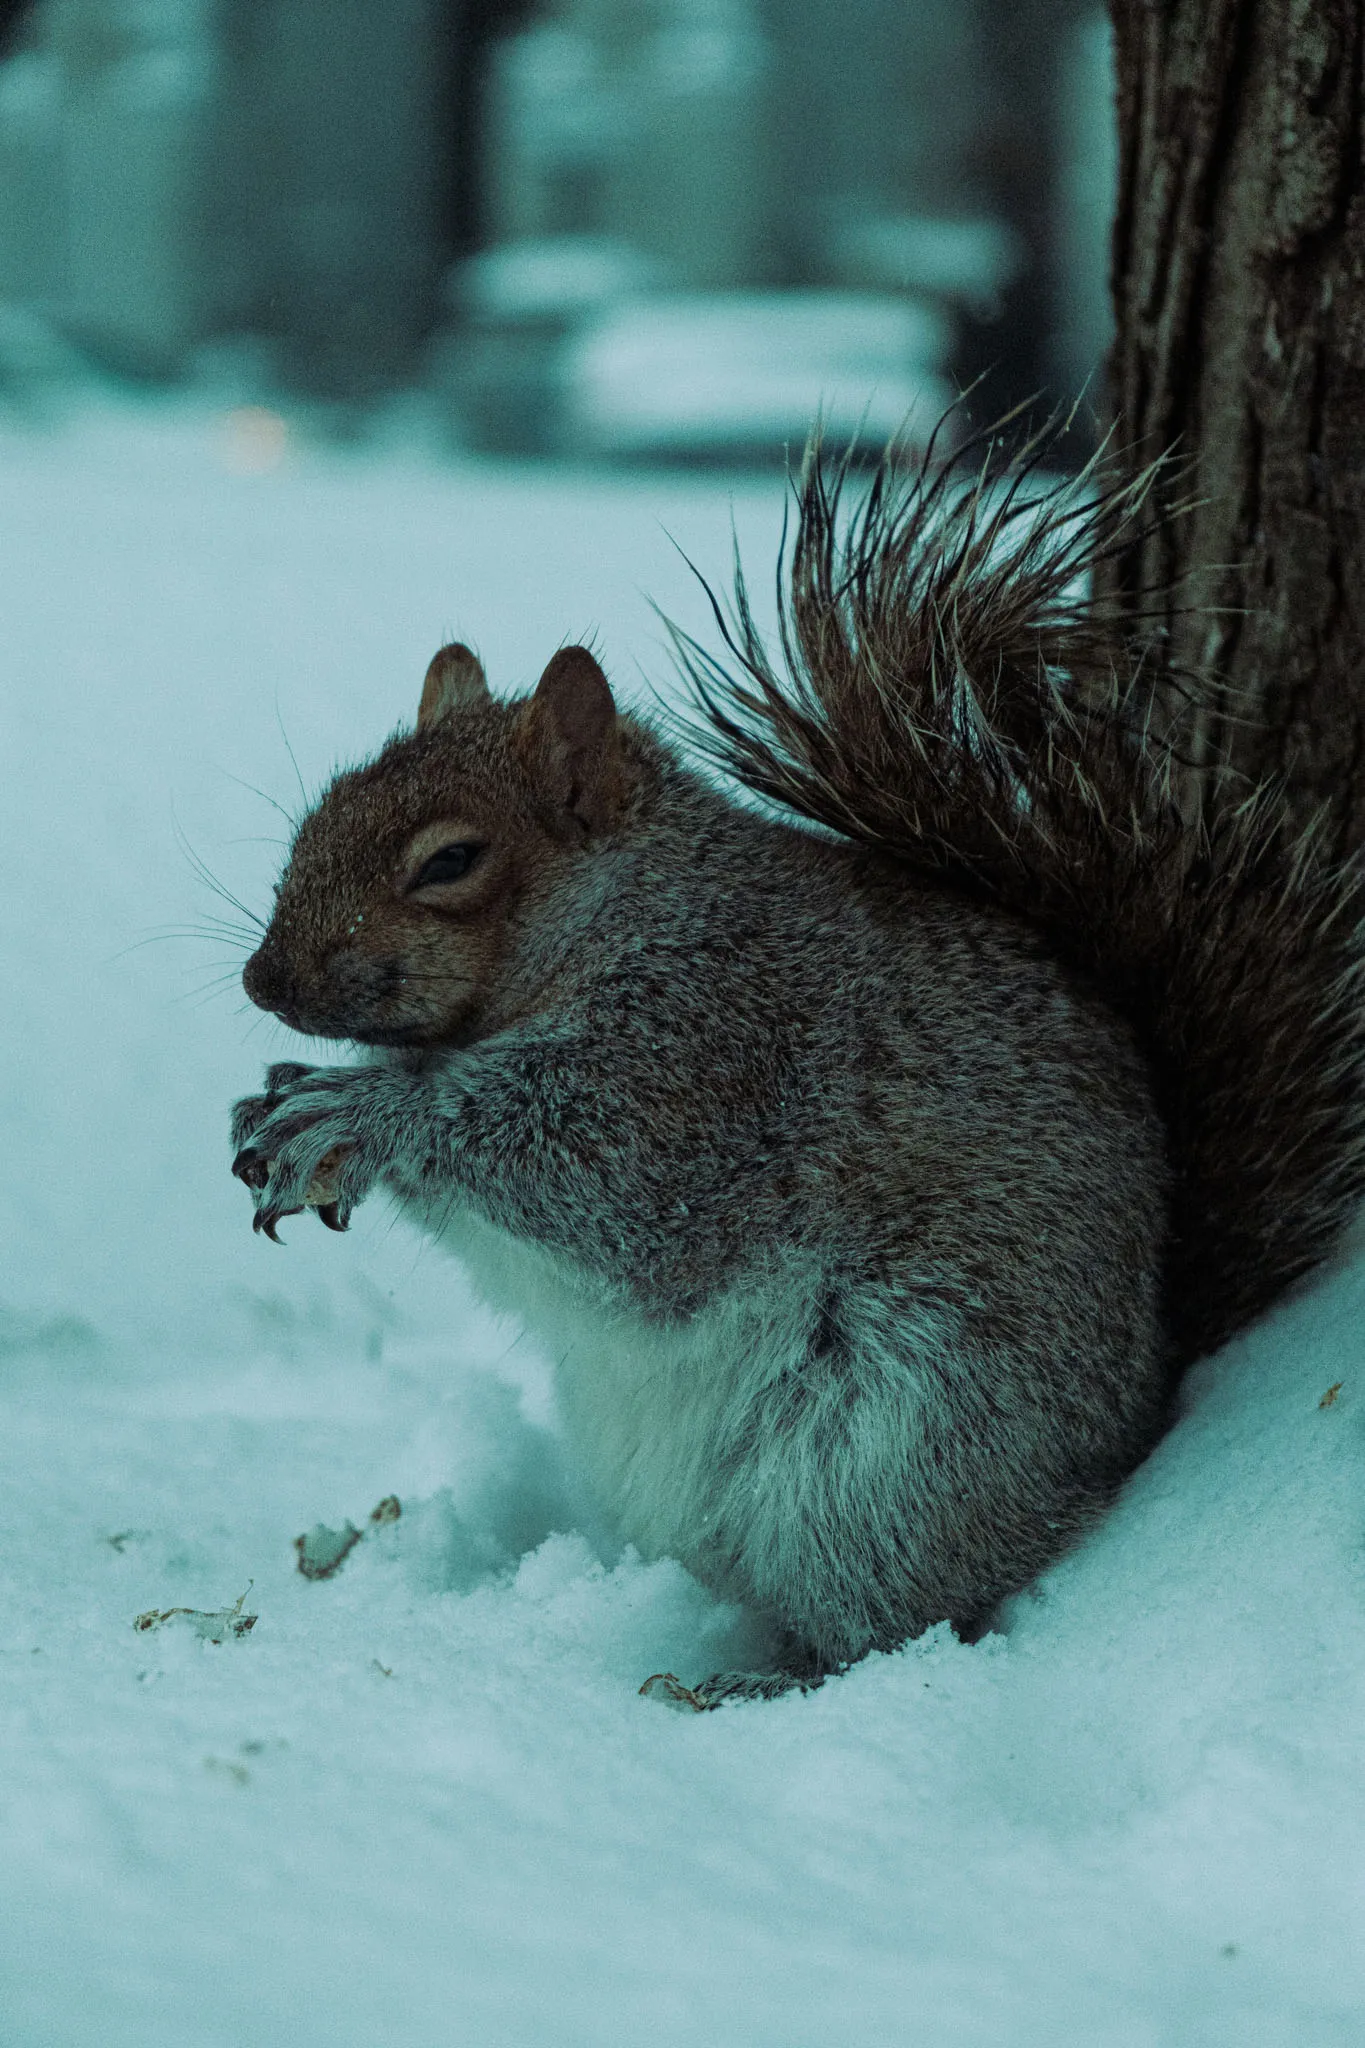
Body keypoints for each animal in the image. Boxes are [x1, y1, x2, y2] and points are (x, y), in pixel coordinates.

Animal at [229, 423, 1365, 1703]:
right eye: (322, 808)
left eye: (451, 860)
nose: (262, 983)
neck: (623, 917)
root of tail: (1131, 1418)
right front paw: (282, 1101)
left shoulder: (712, 1057)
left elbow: (590, 1176)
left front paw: (356, 1111)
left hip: (889, 1441)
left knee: (896, 1613)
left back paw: (760, 1681)